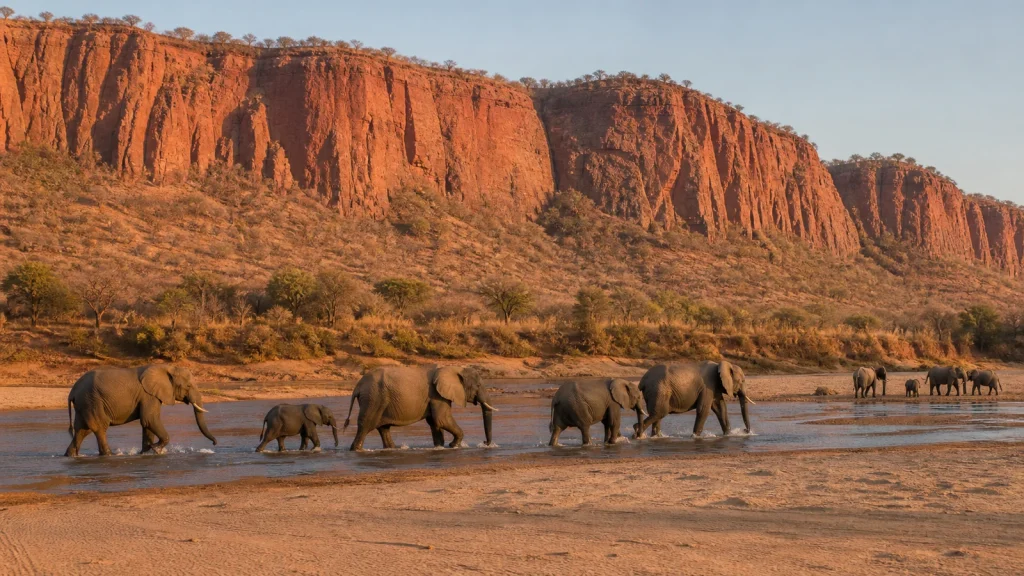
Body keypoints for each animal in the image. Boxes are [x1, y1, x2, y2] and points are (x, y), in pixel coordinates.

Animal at [65, 364, 216, 457]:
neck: (167, 367)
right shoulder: (148, 395)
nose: (215, 443)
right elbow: (150, 419)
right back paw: (110, 455)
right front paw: (156, 449)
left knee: (82, 430)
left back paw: (70, 455)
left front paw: (146, 452)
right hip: (91, 400)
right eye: (188, 386)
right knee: (99, 427)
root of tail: (72, 391)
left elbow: (147, 424)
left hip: (84, 404)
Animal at [343, 365, 497, 451]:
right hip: (373, 398)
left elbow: (435, 422)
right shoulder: (437, 394)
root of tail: (358, 386)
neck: (454, 369)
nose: (485, 443)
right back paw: (356, 449)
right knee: (366, 425)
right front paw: (453, 445)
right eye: (478, 386)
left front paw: (440, 447)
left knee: (383, 428)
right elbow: (442, 419)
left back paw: (392, 448)